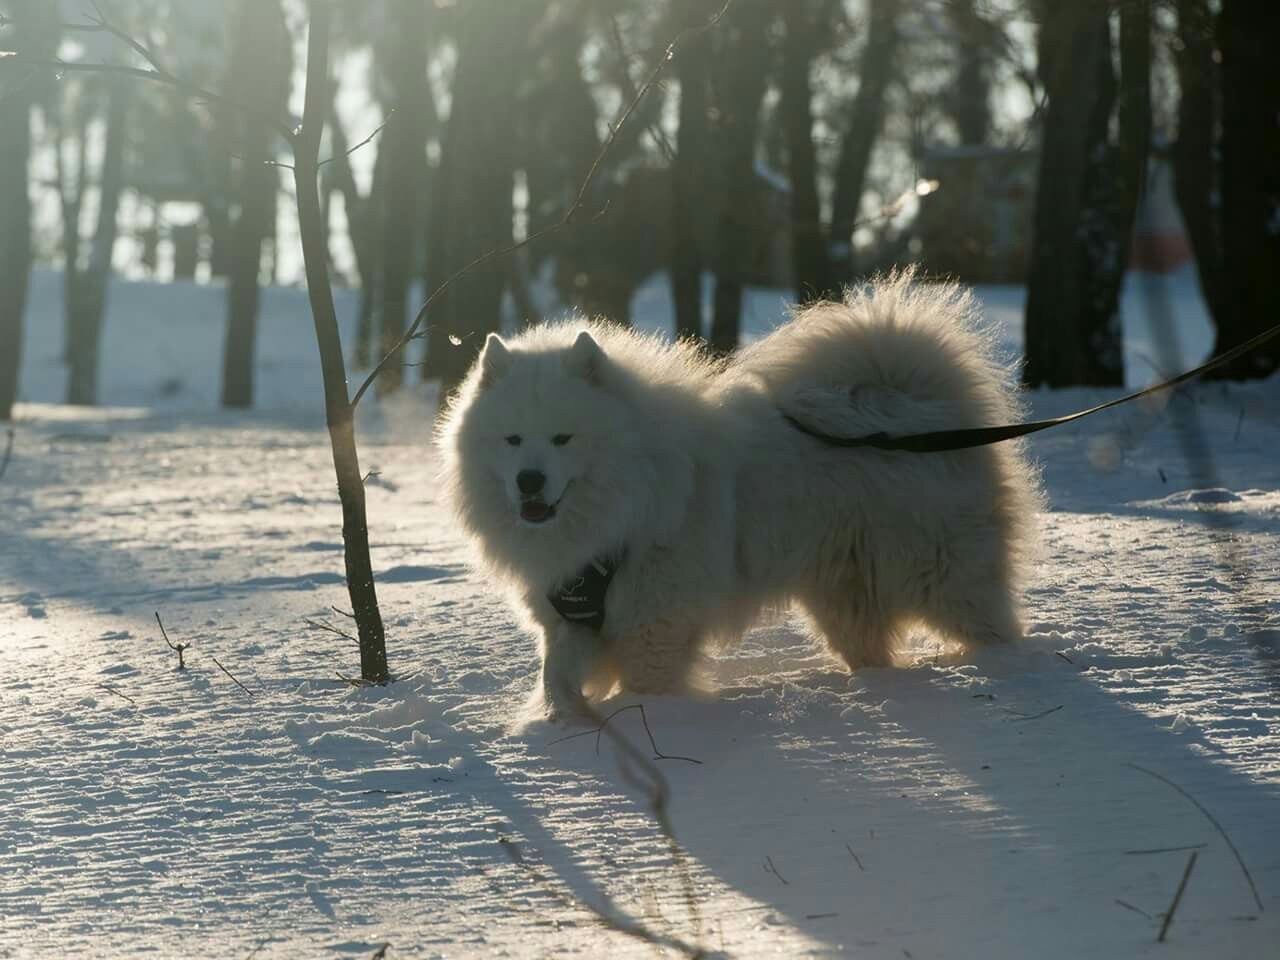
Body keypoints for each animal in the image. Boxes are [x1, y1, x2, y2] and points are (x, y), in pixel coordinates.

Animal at [437, 271, 1039, 721]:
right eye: (513, 439)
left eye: (563, 438)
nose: (529, 481)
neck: (622, 499)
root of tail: (914, 407)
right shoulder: (571, 619)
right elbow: (556, 676)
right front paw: (558, 725)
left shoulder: (654, 620)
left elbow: (645, 687)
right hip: (845, 596)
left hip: (941, 577)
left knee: (995, 626)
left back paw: (1012, 673)